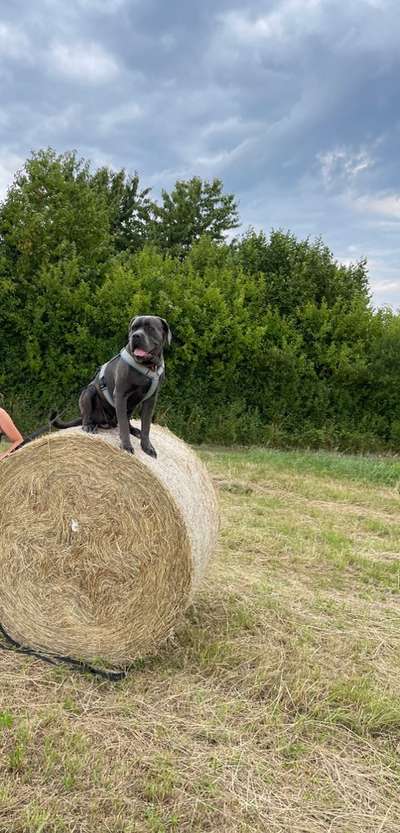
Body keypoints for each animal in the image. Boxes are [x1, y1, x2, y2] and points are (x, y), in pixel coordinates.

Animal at [52, 316, 171, 456]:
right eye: (134, 328)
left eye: (150, 328)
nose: (135, 336)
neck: (148, 366)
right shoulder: (120, 395)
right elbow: (123, 425)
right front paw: (126, 446)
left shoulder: (150, 400)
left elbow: (146, 426)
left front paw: (147, 447)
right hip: (88, 393)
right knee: (89, 416)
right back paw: (88, 425)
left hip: (130, 407)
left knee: (126, 420)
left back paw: (134, 430)